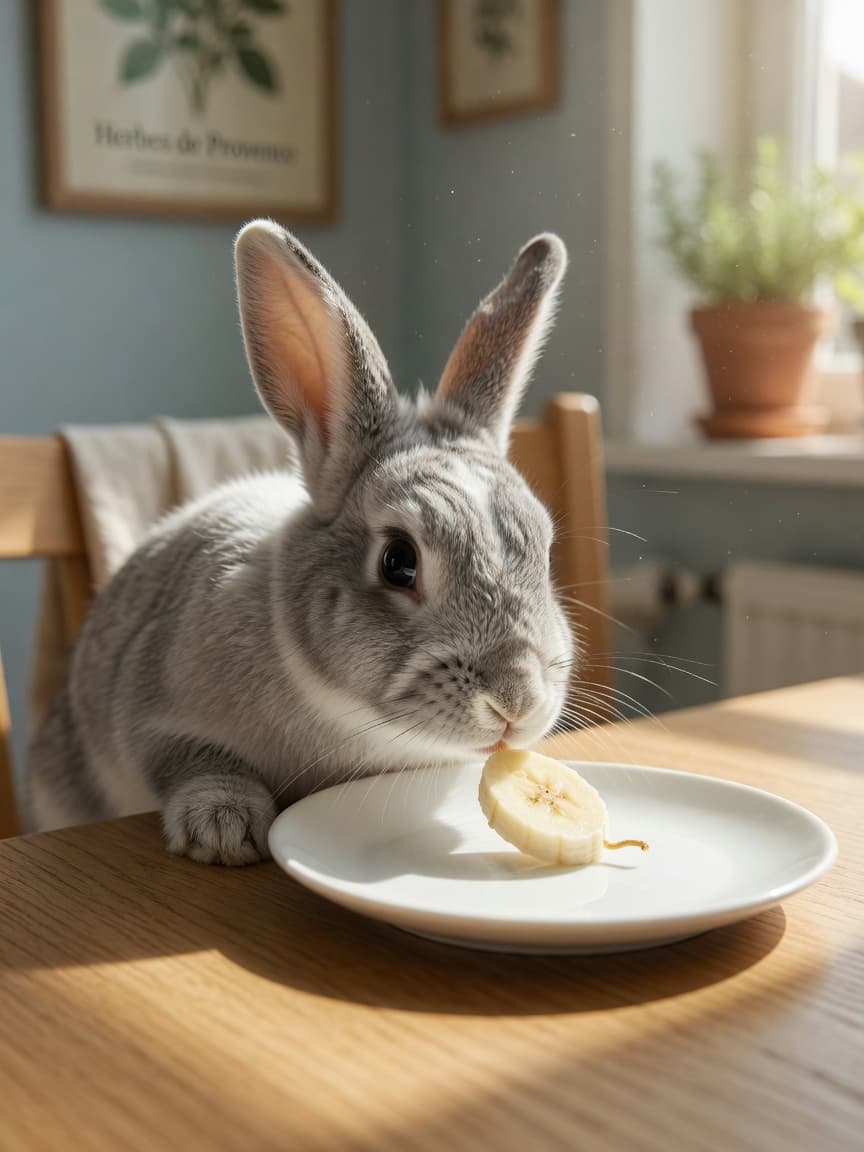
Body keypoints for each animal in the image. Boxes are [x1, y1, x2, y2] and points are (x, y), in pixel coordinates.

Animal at [26, 221, 575, 865]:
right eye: (398, 561)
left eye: (545, 551)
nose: (516, 702)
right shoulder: (151, 714)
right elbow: (190, 761)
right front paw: (225, 827)